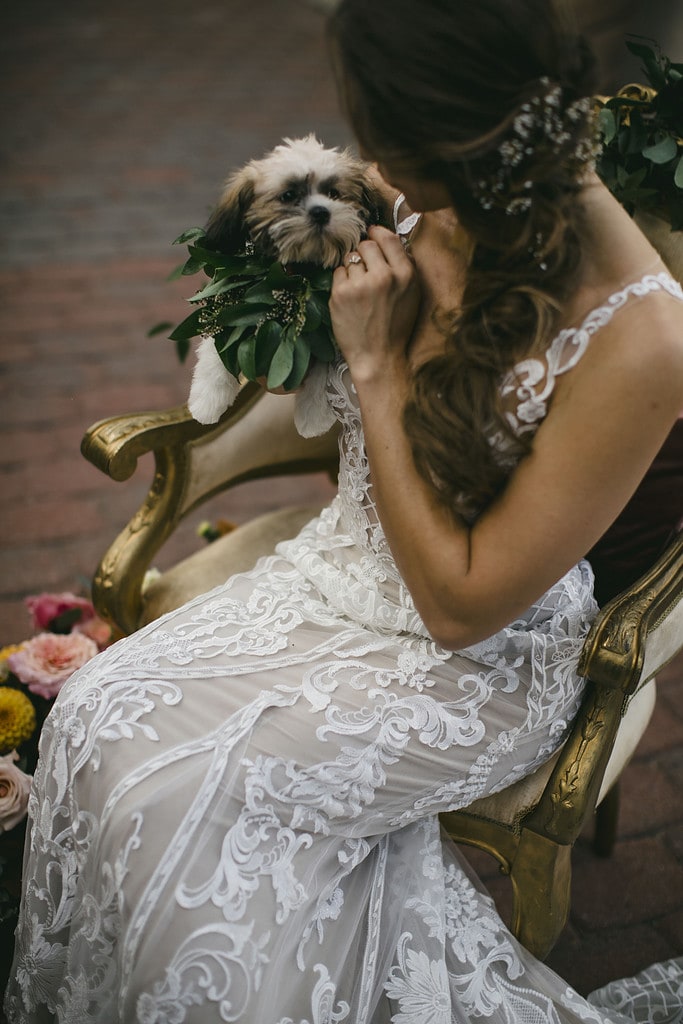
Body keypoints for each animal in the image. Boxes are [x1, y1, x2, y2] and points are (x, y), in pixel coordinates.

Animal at [187, 133, 389, 432]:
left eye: (334, 193)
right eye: (289, 195)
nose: (321, 212)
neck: (297, 272)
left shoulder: (325, 321)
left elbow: (323, 364)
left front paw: (313, 415)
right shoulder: (233, 303)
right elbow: (218, 342)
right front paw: (208, 399)